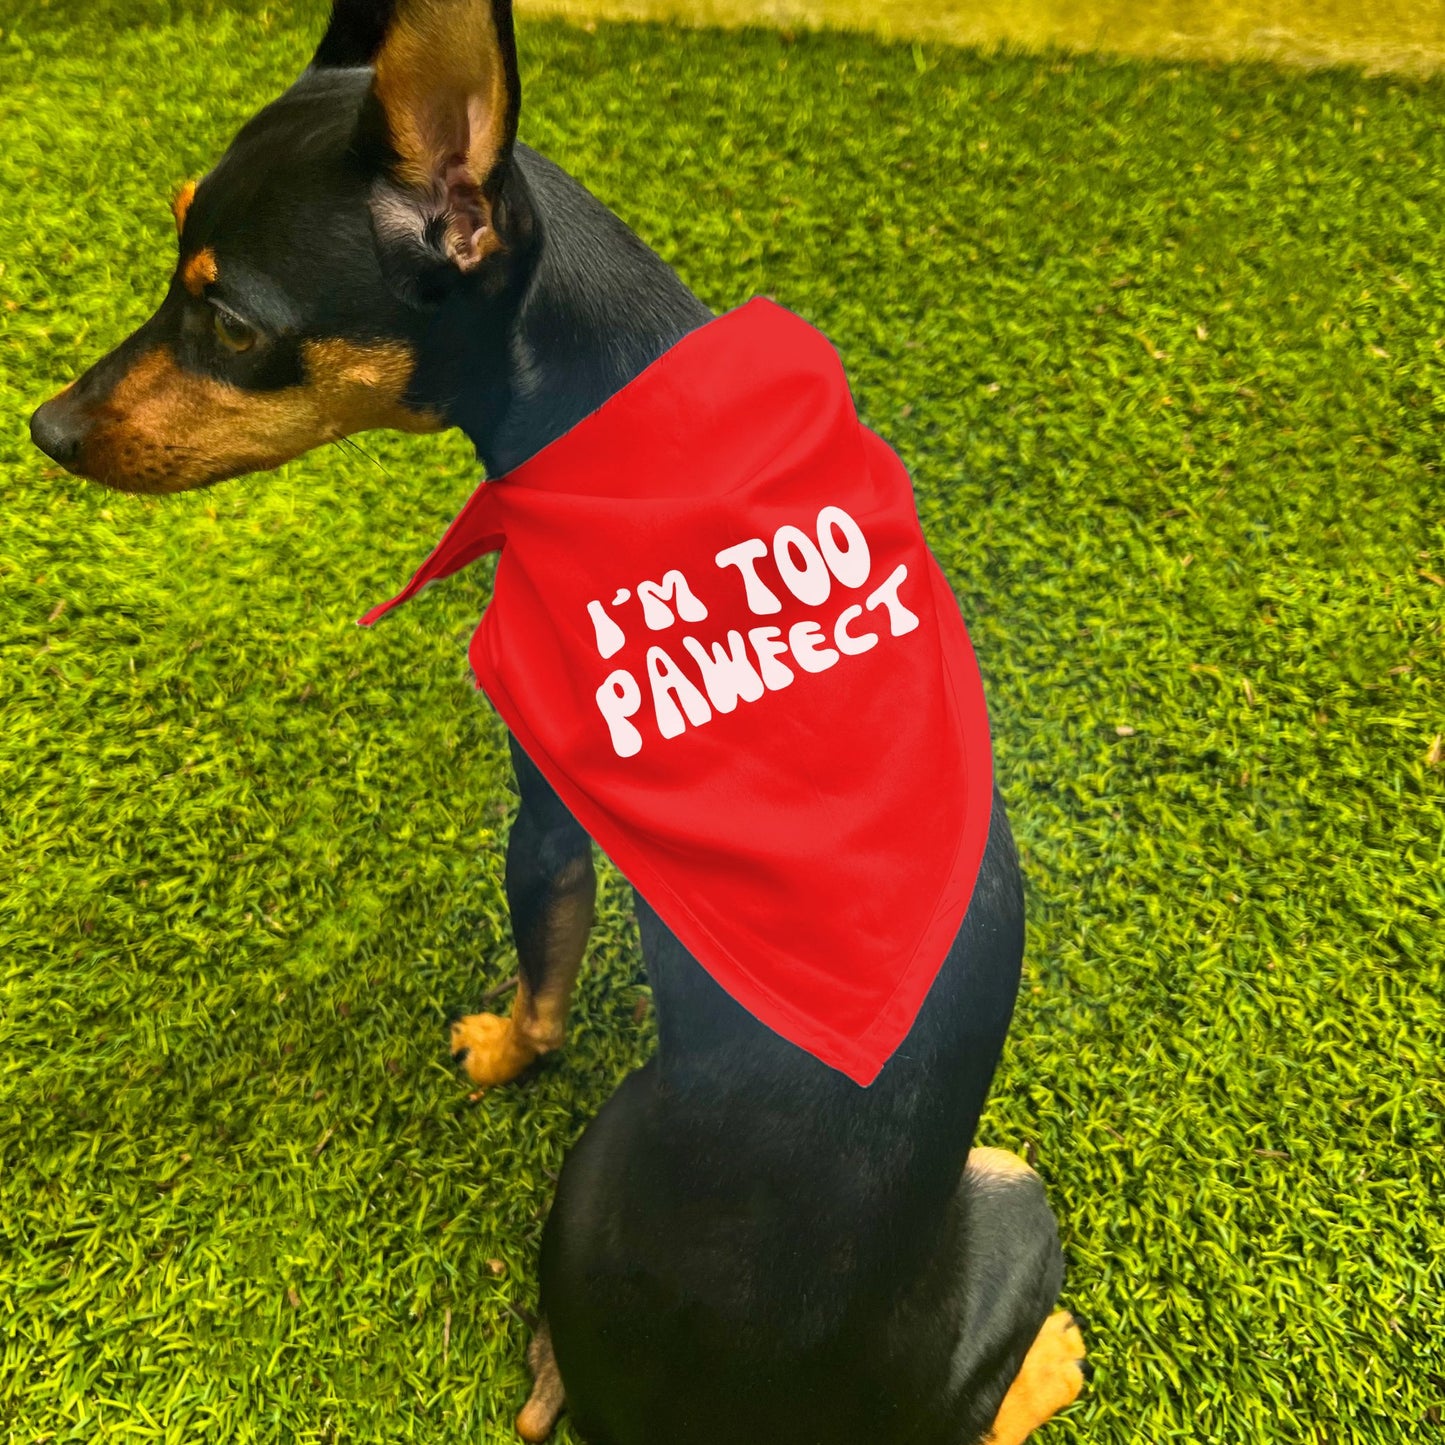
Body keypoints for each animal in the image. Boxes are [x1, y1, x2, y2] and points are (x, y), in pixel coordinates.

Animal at [28, 5, 1086, 1439]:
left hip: (992, 1191)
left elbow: (542, 961)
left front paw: (502, 1049)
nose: (46, 427)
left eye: (235, 321)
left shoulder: (544, 806)